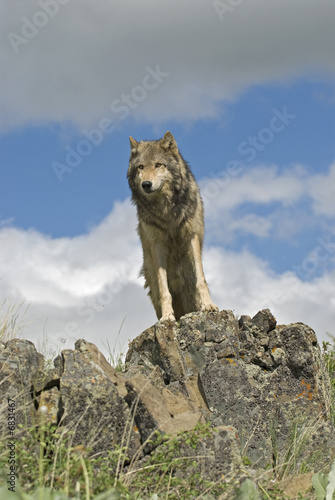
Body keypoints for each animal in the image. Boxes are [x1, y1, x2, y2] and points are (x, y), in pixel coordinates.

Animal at [127, 131, 219, 322]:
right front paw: (167, 316)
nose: (146, 184)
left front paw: (208, 305)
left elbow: (201, 280)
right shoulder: (157, 244)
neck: (166, 210)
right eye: (140, 167)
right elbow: (164, 290)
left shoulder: (192, 236)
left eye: (158, 165)